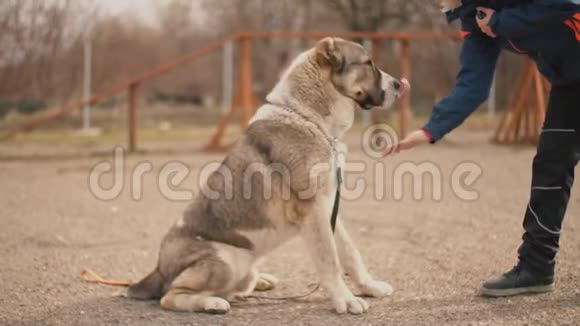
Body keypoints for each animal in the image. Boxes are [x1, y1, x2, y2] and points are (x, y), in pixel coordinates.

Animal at [128, 37, 408, 314]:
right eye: (368, 63)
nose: (399, 84)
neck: (308, 116)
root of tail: (158, 269)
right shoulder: (312, 210)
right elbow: (329, 259)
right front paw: (345, 300)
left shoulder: (328, 208)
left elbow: (350, 252)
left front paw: (369, 286)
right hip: (228, 259)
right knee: (171, 296)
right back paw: (213, 304)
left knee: (237, 287)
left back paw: (261, 280)